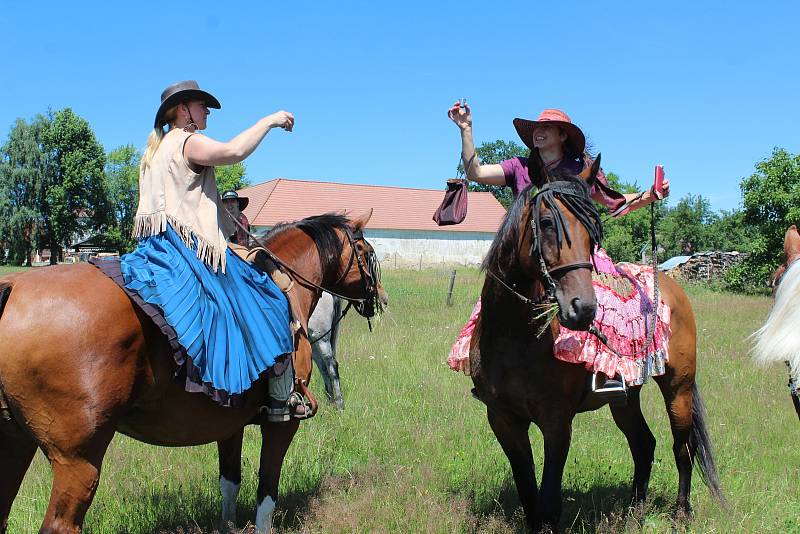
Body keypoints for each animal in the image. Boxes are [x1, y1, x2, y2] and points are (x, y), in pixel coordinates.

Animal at [0, 211, 384, 532]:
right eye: (365, 251)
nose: (378, 297)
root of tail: (14, 287)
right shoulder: (283, 422)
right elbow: (266, 491)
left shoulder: (229, 424)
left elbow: (229, 482)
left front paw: (227, 526)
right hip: (78, 461)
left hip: (16, 443)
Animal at [468, 157, 724, 532]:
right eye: (547, 223)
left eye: (593, 233)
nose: (583, 308)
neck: (513, 337)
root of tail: (670, 286)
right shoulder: (502, 419)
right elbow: (527, 489)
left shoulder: (557, 421)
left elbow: (549, 498)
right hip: (625, 398)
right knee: (643, 444)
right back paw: (635, 511)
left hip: (678, 388)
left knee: (683, 447)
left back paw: (681, 513)